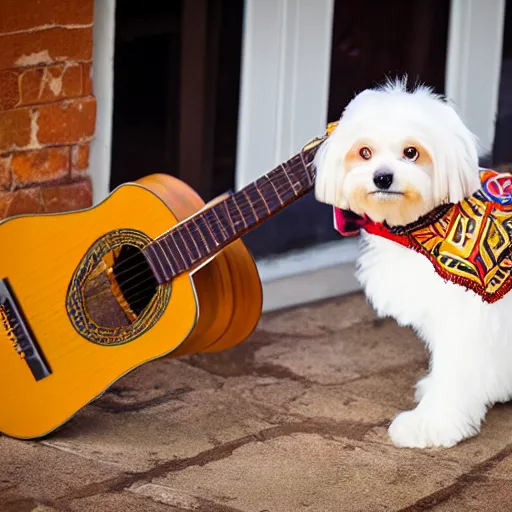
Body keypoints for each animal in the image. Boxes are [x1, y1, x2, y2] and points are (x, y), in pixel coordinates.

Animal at [314, 78, 512, 450]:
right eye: (364, 152)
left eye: (411, 152)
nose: (382, 178)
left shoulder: (467, 316)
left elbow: (455, 371)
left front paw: (432, 424)